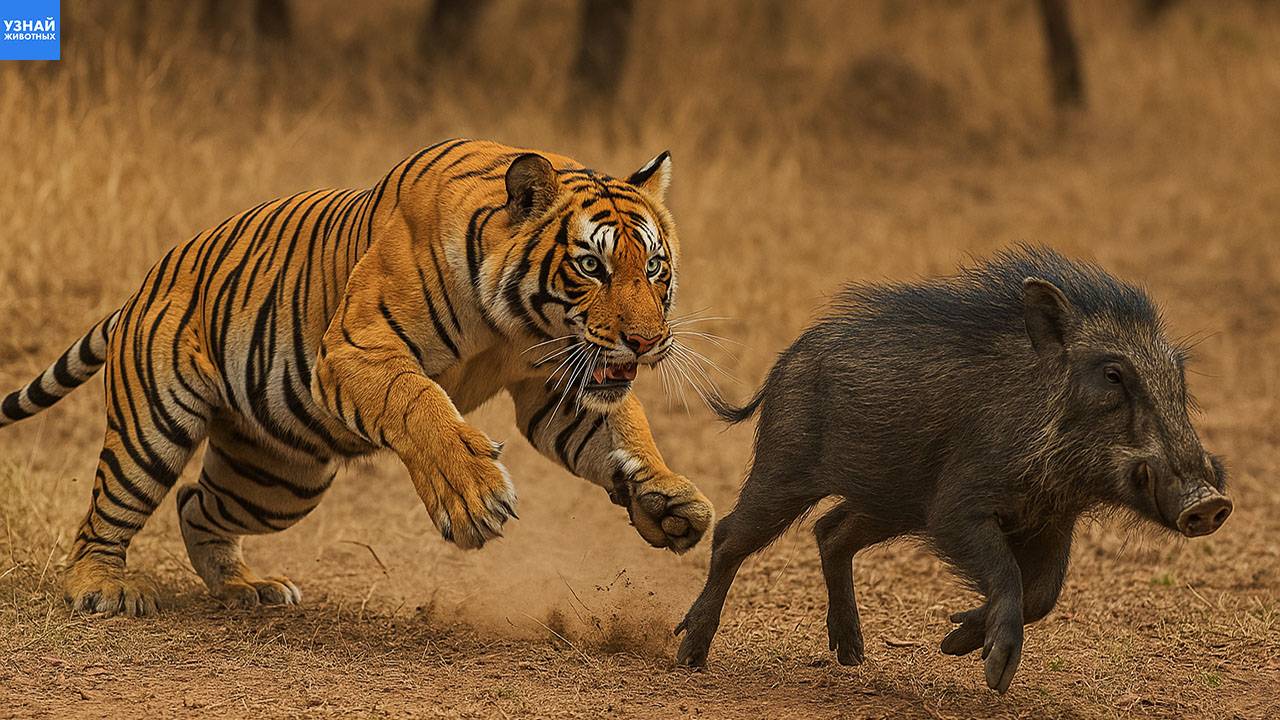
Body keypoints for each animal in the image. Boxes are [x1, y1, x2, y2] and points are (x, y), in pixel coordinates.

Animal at [0, 139, 715, 616]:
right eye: (592, 265)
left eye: (654, 266)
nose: (646, 341)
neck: (511, 321)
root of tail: (145, 282)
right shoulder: (354, 349)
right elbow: (421, 401)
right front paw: (473, 497)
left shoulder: (556, 384)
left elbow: (618, 429)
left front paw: (668, 499)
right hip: (155, 428)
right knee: (109, 512)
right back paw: (103, 589)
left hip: (278, 480)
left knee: (196, 503)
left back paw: (245, 587)